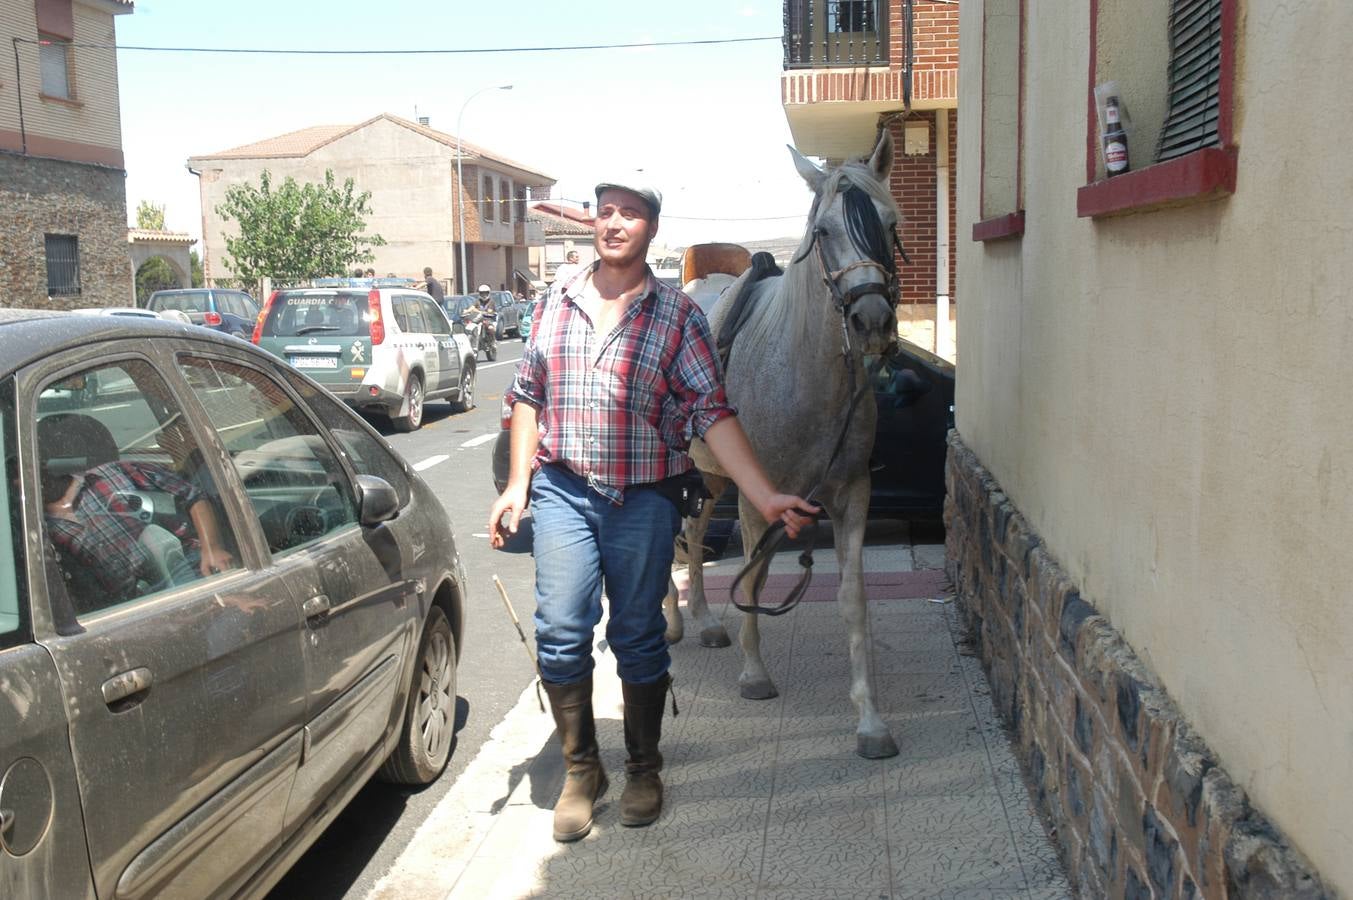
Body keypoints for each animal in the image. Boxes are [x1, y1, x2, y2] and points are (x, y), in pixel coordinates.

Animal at [662, 127, 903, 757]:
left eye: (890, 224)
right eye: (824, 233)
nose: (872, 321)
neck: (802, 372)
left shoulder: (850, 496)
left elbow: (852, 599)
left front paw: (870, 720)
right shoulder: (756, 499)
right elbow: (754, 575)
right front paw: (754, 676)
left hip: (711, 477)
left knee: (694, 533)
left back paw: (705, 620)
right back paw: (671, 620)